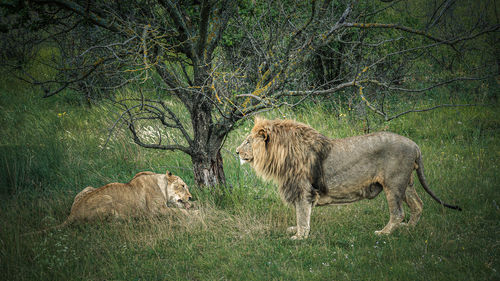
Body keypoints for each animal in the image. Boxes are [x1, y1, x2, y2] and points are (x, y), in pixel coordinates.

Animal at [238, 116, 460, 238]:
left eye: (248, 141)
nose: (236, 151)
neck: (280, 154)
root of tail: (415, 145)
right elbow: (303, 215)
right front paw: (296, 231)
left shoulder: (303, 191)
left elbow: (302, 214)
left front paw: (300, 237)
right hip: (407, 184)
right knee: (418, 205)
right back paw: (408, 229)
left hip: (394, 184)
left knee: (398, 212)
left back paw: (384, 233)